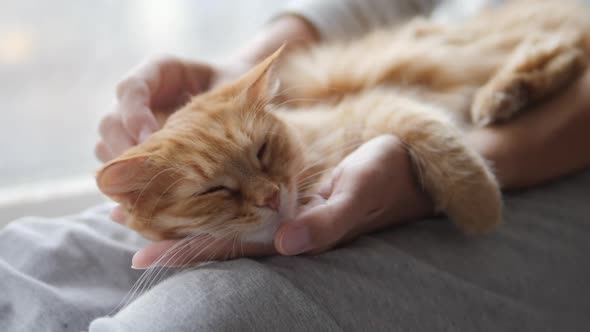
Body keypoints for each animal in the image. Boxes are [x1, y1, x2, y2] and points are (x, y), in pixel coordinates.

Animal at [97, 0, 590, 244]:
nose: (272, 197)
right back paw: (506, 96)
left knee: (559, 45)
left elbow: (440, 141)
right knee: (561, 50)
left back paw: (500, 96)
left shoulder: (376, 106)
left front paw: (479, 206)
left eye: (262, 152)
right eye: (213, 190)